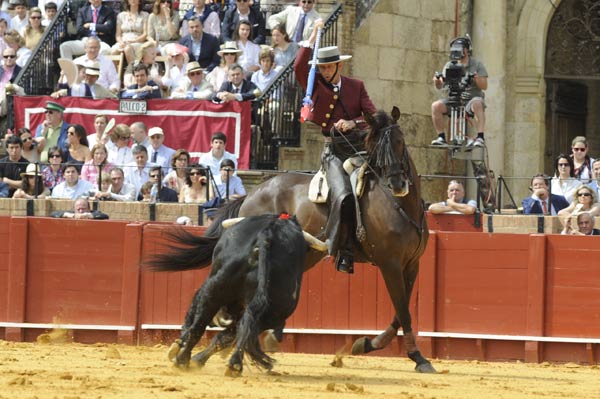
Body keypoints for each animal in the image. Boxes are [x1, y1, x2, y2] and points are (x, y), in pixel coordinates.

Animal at [161, 216, 304, 376]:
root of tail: (267, 235)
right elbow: (228, 335)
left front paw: (183, 350)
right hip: (273, 311)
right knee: (244, 327)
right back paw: (234, 365)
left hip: (215, 289)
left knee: (199, 325)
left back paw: (182, 360)